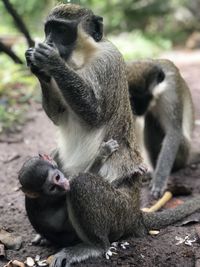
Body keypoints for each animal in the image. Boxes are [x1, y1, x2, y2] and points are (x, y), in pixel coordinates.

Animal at [126, 60, 194, 199]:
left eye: (143, 98)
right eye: (131, 99)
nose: (136, 110)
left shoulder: (171, 92)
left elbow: (174, 131)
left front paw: (159, 181)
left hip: (185, 153)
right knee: (150, 120)